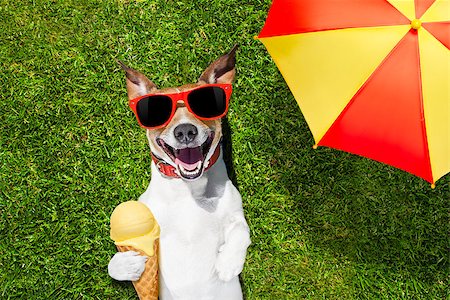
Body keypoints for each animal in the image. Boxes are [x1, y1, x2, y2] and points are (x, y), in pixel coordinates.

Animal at [107, 45, 251, 300]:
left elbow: (242, 231)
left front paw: (228, 263)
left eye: (204, 105)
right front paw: (126, 264)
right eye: (157, 112)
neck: (188, 189)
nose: (185, 131)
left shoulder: (235, 211)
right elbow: (112, 265)